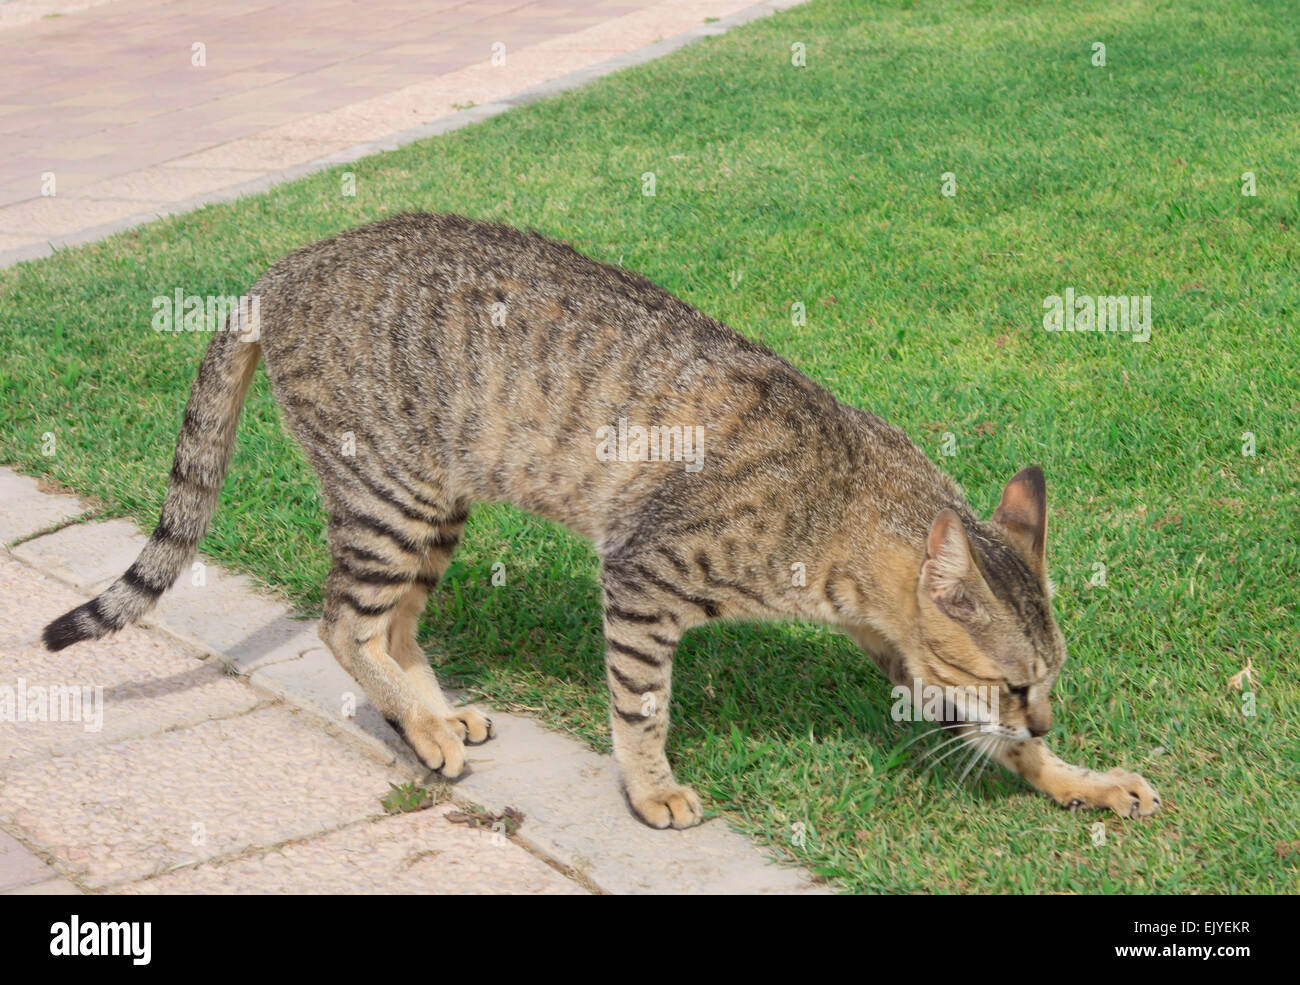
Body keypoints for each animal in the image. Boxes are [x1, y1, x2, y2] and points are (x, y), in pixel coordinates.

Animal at [40, 211, 1164, 831]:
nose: (1044, 714)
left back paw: (435, 712)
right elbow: (640, 703)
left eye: (1048, 682)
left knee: (394, 622)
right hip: (389, 496)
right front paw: (651, 786)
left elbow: (997, 748)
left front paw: (1077, 779)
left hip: (433, 506)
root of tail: (291, 262)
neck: (842, 502)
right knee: (342, 623)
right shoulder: (643, 574)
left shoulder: (895, 646)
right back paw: (424, 725)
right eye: (1015, 681)